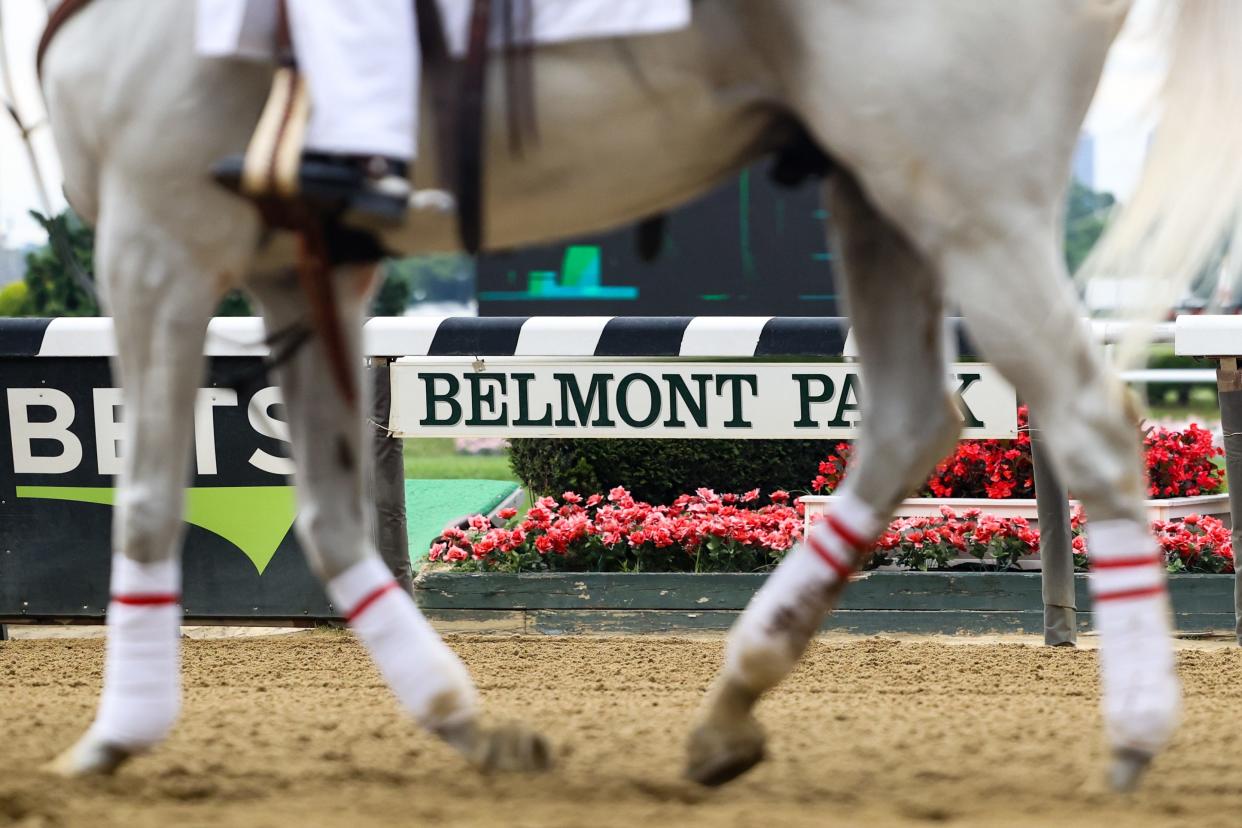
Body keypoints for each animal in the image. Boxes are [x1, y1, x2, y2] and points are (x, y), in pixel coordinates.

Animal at [38, 0, 1242, 794]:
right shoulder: (306, 266)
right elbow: (330, 521)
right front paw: (472, 724)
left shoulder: (157, 234)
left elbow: (147, 497)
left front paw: (115, 734)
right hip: (878, 183)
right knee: (912, 422)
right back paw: (728, 707)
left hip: (960, 185)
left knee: (1085, 418)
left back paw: (1136, 735)